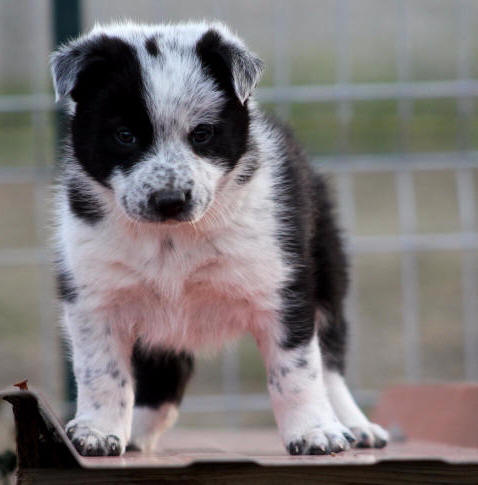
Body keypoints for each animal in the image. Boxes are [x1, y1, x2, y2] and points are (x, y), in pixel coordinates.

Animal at [51, 20, 388, 456]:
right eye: (124, 135)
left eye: (202, 134)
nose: (169, 200)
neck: (172, 237)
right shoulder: (94, 296)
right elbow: (101, 371)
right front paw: (97, 432)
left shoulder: (283, 289)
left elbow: (296, 370)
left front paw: (315, 433)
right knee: (162, 373)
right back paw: (138, 433)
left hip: (328, 272)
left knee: (330, 364)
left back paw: (355, 426)